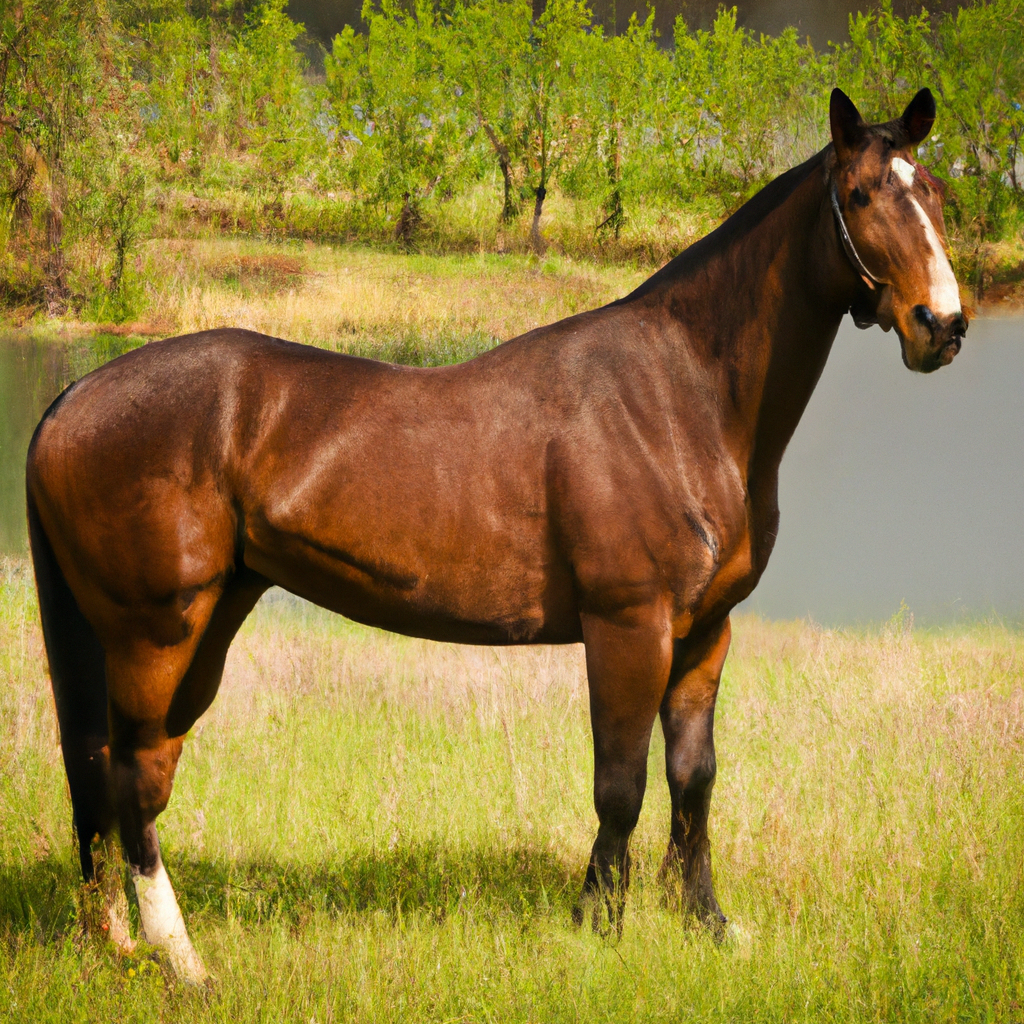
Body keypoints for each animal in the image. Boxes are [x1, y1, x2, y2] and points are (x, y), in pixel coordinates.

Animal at [25, 90, 966, 983]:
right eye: (861, 193)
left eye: (934, 192)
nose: (943, 325)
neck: (680, 397)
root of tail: (72, 398)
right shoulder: (628, 626)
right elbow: (619, 785)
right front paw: (597, 928)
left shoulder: (705, 631)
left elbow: (692, 779)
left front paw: (708, 924)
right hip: (157, 633)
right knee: (134, 778)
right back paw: (182, 960)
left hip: (198, 624)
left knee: (105, 769)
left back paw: (115, 940)